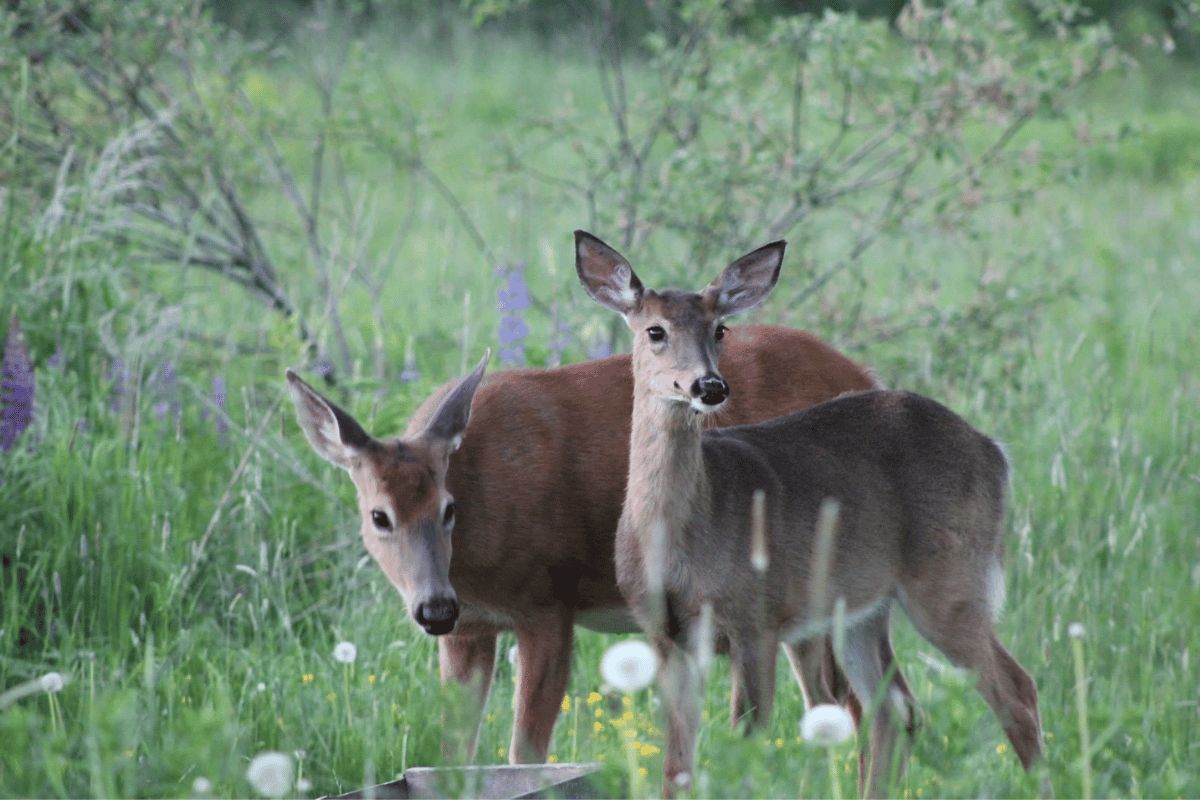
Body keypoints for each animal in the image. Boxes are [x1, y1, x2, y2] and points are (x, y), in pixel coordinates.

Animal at [285, 281, 911, 774]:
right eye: (379, 516)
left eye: (448, 508)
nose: (434, 608)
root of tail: (867, 374)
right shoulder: (470, 630)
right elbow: (453, 755)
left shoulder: (547, 602)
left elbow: (524, 754)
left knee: (867, 705)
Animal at [574, 229, 1044, 796]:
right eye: (655, 331)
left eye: (721, 328)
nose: (710, 386)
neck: (685, 536)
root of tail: (995, 452)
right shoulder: (665, 634)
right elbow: (676, 766)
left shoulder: (756, 618)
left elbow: (747, 745)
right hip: (865, 604)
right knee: (895, 708)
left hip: (952, 580)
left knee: (1016, 690)